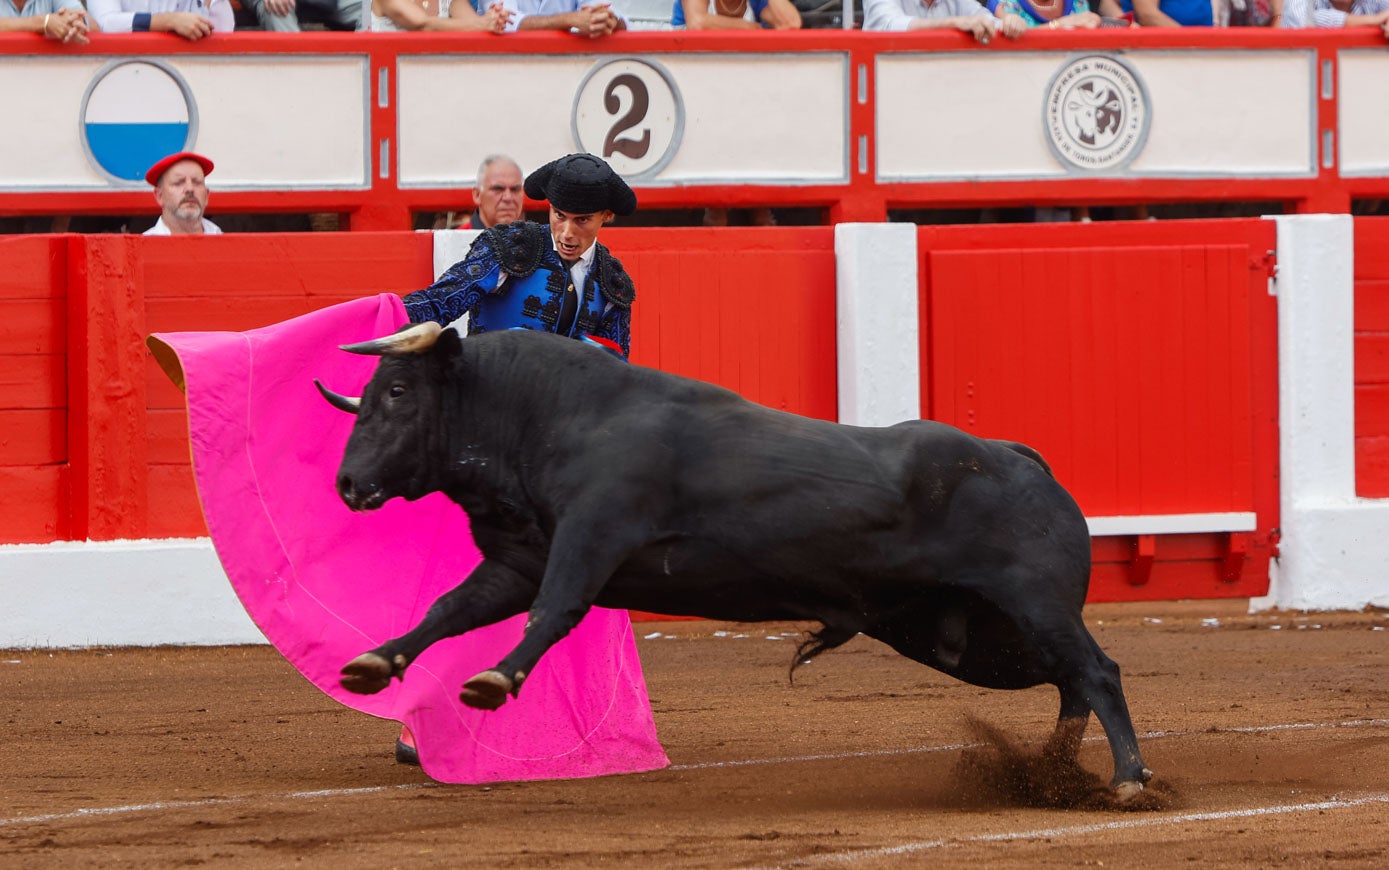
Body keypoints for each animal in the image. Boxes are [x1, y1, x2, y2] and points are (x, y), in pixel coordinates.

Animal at [315, 318, 1150, 794]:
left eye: (397, 392)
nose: (349, 483)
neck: (548, 416)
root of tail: (1019, 459)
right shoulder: (518, 560)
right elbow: (449, 608)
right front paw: (373, 665)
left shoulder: (591, 536)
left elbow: (555, 610)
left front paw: (492, 682)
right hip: (972, 639)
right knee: (1067, 681)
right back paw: (1052, 774)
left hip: (1032, 602)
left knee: (1096, 672)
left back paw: (1129, 780)